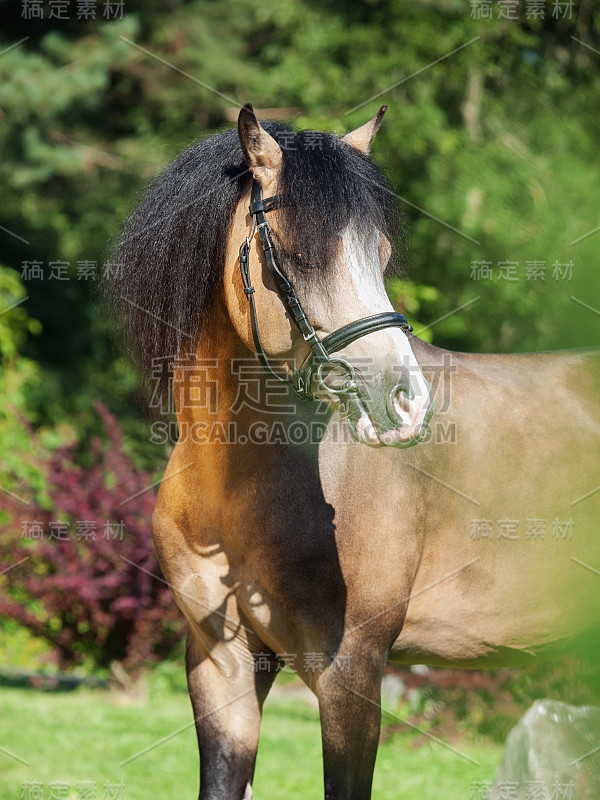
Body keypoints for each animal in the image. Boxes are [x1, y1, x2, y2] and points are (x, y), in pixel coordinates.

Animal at [106, 104, 600, 800]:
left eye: (383, 255)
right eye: (292, 255)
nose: (404, 403)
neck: (239, 490)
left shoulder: (352, 676)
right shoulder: (221, 664)